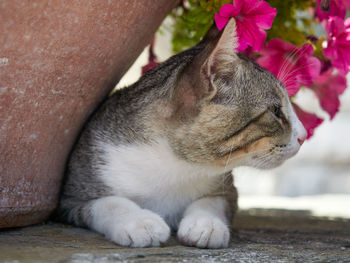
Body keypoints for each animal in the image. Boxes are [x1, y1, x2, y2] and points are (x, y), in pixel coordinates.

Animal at [54, 18, 306, 250]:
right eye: (275, 110)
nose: (303, 136)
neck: (175, 165)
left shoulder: (227, 189)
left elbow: (213, 201)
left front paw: (205, 224)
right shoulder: (70, 197)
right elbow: (108, 202)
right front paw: (139, 222)